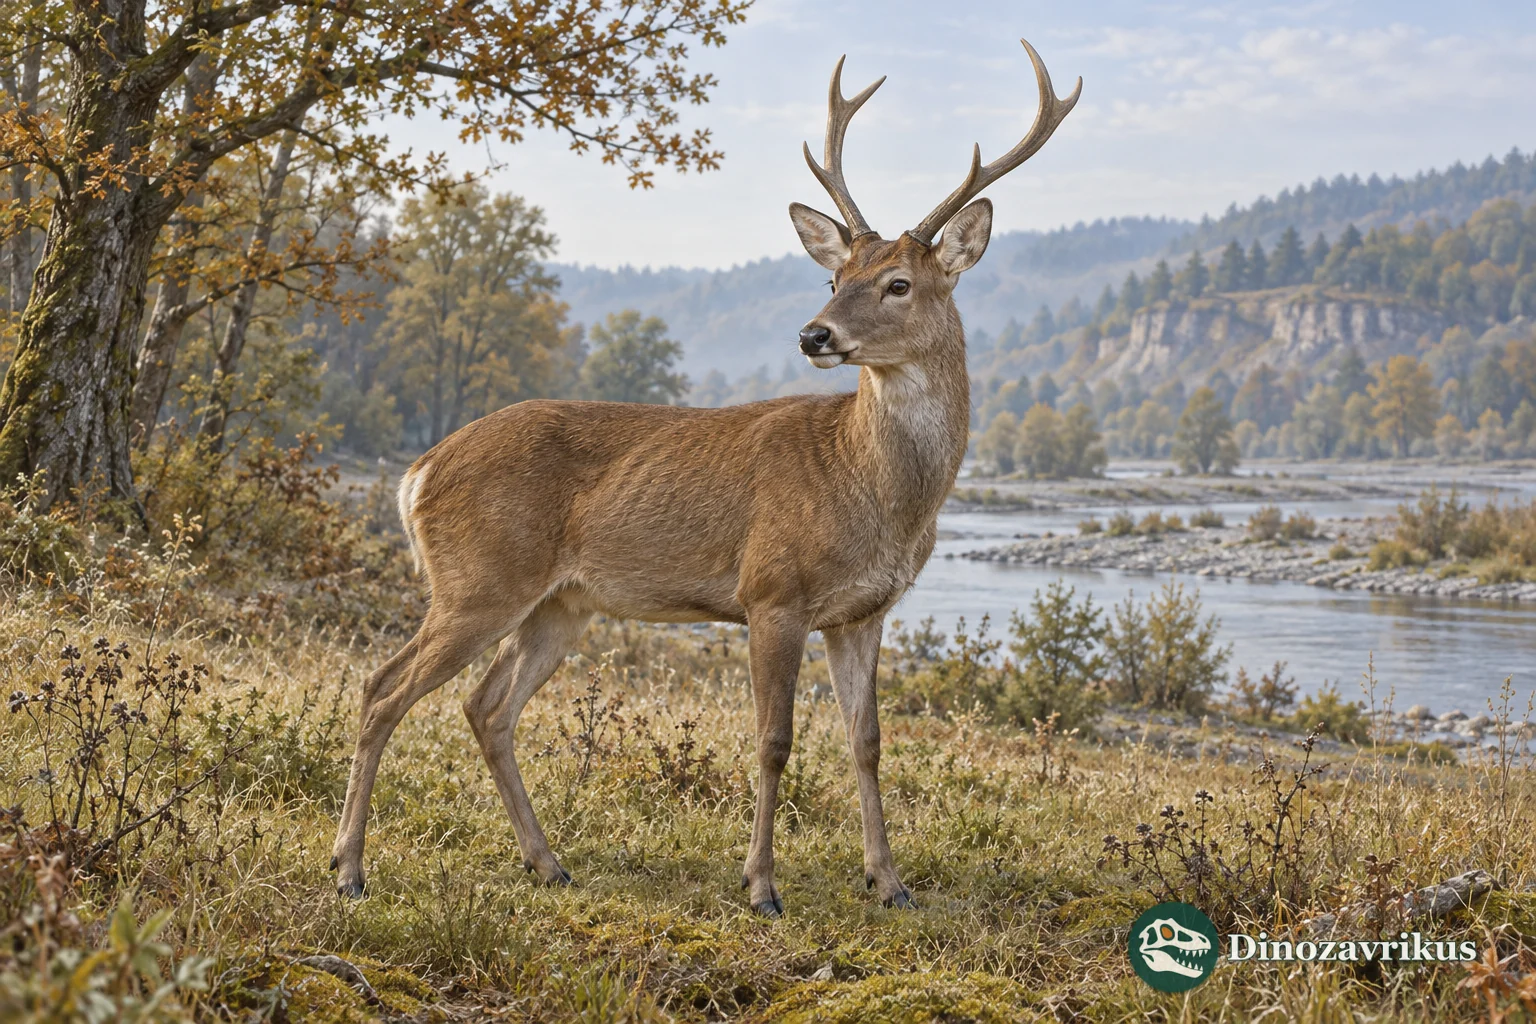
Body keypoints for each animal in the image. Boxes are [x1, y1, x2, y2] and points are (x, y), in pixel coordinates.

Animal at [330, 38, 1080, 917]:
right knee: (383, 687)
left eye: (898, 283)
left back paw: (546, 862)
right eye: (834, 280)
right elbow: (774, 740)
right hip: (478, 578)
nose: (814, 334)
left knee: (485, 707)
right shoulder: (772, 591)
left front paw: (889, 882)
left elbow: (867, 741)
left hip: (558, 603)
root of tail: (417, 471)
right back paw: (349, 868)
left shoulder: (864, 612)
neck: (875, 493)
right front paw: (761, 887)